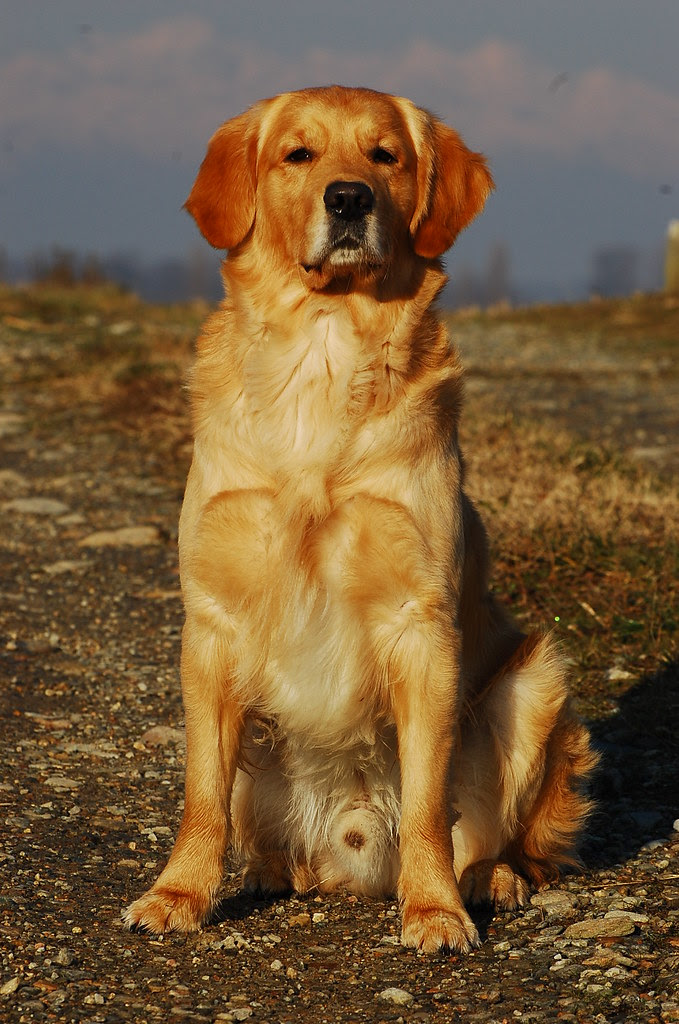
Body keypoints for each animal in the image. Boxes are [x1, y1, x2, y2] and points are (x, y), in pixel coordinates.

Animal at [124, 86, 598, 950]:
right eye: (298, 155)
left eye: (385, 156)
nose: (348, 199)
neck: (321, 354)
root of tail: (346, 859)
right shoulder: (211, 624)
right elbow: (200, 791)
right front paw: (177, 893)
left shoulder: (421, 620)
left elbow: (426, 801)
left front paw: (434, 909)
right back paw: (272, 872)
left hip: (533, 679)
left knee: (502, 837)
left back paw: (486, 879)